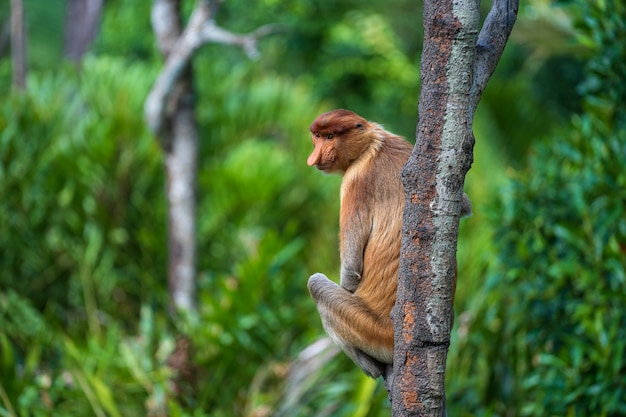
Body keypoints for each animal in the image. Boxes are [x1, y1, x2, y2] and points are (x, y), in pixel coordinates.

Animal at [304, 108, 470, 376]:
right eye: (317, 136)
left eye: (330, 137)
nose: (315, 157)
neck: (372, 144)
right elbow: (464, 204)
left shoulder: (353, 182)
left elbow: (351, 270)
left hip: (372, 331)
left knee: (316, 284)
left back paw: (370, 367)